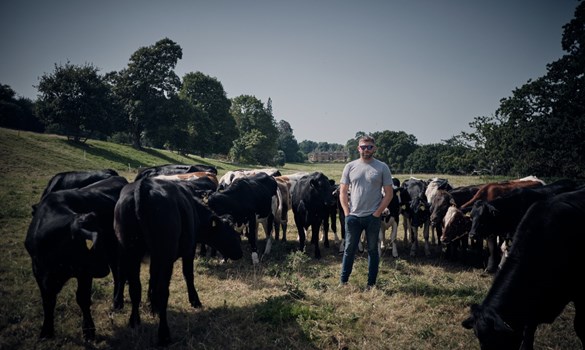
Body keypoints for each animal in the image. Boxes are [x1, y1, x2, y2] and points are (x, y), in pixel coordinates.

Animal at [24, 176, 128, 340]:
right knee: (117, 274)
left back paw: (118, 302)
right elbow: (47, 300)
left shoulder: (84, 272)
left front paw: (89, 330)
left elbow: (82, 298)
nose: (101, 269)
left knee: (121, 273)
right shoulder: (38, 272)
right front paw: (46, 331)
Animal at [114, 176, 242, 346]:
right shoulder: (189, 249)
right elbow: (188, 275)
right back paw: (164, 335)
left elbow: (152, 278)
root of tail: (143, 186)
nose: (240, 252)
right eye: (230, 231)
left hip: (129, 252)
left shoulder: (155, 259)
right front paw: (195, 301)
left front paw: (152, 305)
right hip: (164, 255)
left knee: (133, 286)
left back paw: (133, 320)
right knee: (162, 291)